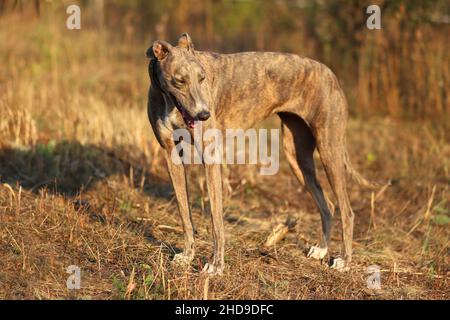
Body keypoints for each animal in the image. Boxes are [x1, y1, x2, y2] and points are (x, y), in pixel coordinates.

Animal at [146, 32, 374, 274]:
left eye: (202, 78)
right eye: (179, 80)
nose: (204, 115)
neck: (168, 101)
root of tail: (331, 74)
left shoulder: (210, 157)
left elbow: (217, 222)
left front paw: (216, 265)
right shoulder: (171, 154)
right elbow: (184, 214)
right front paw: (188, 255)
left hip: (329, 149)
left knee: (347, 211)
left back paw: (344, 260)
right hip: (297, 157)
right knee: (328, 205)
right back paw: (321, 250)